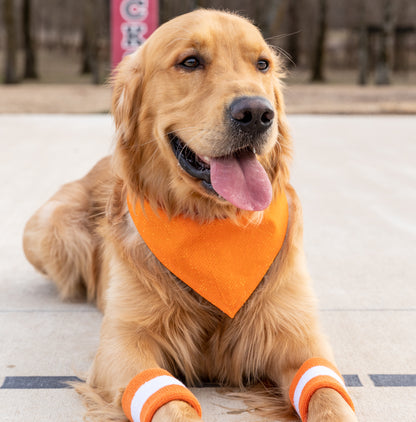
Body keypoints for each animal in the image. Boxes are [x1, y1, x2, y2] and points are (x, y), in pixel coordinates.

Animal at [23, 9, 358, 422]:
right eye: (190, 62)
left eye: (262, 64)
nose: (257, 113)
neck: (212, 222)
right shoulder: (126, 342)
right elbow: (169, 399)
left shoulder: (297, 334)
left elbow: (328, 393)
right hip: (48, 229)